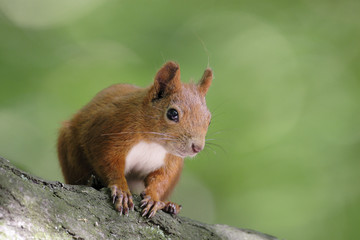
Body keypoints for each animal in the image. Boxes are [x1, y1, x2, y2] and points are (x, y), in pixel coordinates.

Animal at [57, 60, 212, 218]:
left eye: (209, 120)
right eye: (173, 114)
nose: (197, 147)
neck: (153, 142)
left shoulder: (171, 160)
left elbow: (162, 178)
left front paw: (154, 198)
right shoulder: (109, 131)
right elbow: (109, 163)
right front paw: (121, 191)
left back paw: (169, 205)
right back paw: (92, 182)